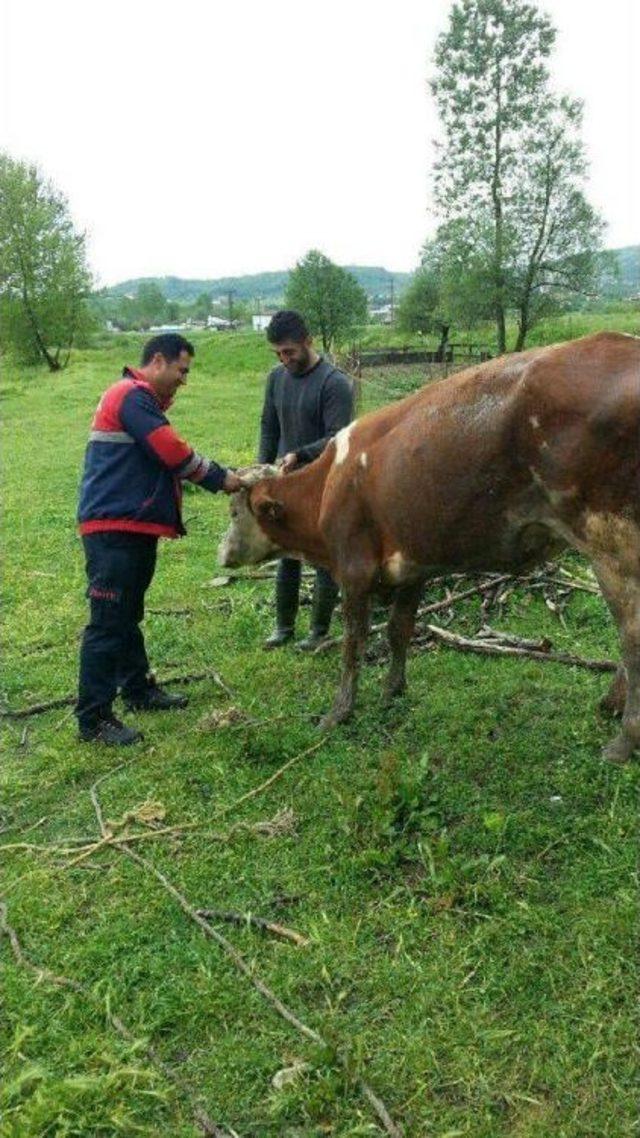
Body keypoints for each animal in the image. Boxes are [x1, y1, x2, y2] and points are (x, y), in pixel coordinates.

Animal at [217, 332, 637, 760]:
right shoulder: (413, 566)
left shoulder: (354, 569)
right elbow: (398, 629)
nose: (222, 552)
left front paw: (339, 712)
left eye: (234, 512)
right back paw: (610, 705)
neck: (330, 485)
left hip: (612, 545)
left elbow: (354, 641)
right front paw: (393, 690)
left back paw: (623, 739)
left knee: (631, 636)